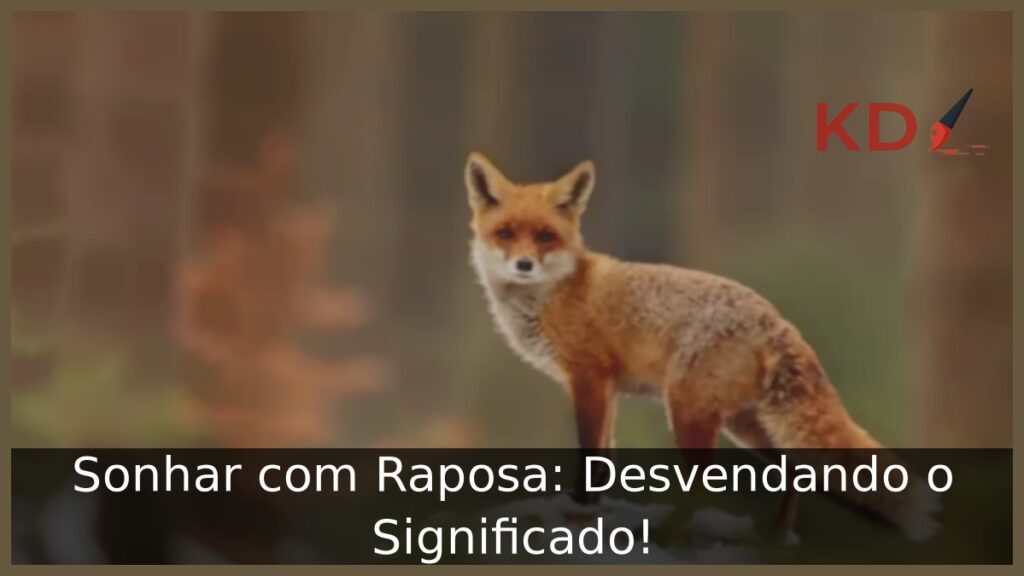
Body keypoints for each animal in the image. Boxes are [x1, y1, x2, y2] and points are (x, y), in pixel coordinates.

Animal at [464, 152, 940, 541]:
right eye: (506, 233)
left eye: (545, 236)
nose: (524, 264)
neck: (553, 294)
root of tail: (778, 319)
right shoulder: (606, 389)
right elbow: (606, 455)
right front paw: (592, 512)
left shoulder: (589, 378)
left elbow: (591, 456)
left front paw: (581, 512)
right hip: (744, 426)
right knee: (793, 469)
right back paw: (775, 535)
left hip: (688, 412)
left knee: (708, 484)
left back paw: (667, 535)